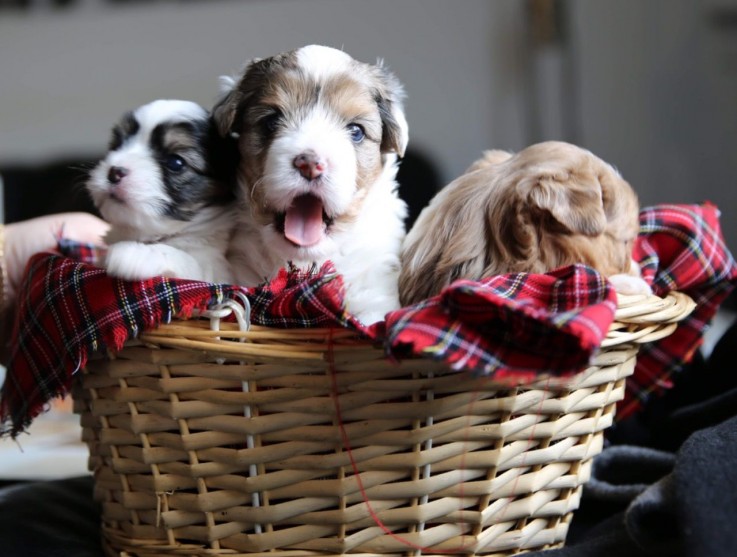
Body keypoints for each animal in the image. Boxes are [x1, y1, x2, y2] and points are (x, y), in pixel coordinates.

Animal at [86, 99, 237, 282]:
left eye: (176, 163)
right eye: (116, 145)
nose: (114, 172)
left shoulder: (215, 271)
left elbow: (186, 259)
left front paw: (134, 254)